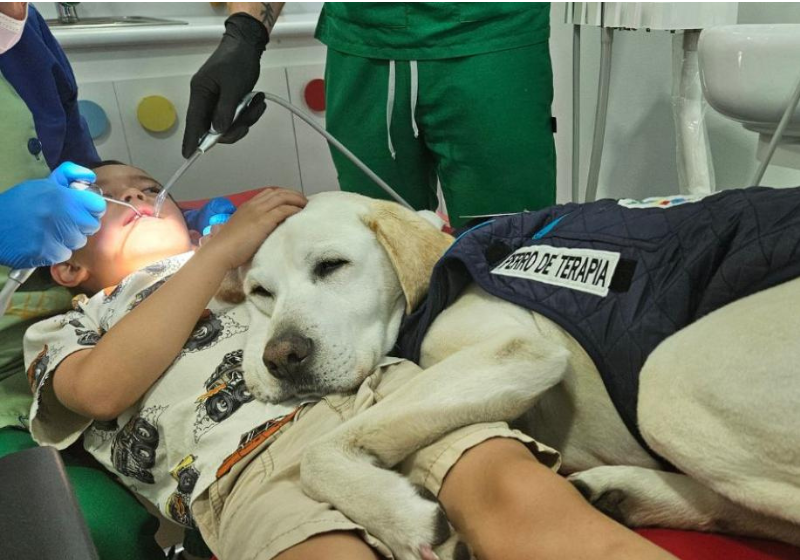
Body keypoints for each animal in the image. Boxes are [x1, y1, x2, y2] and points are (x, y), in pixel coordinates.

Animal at [238, 190, 800, 552]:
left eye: (332, 265)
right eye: (259, 293)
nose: (281, 358)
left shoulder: (516, 348)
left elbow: (316, 455)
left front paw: (400, 516)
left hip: (666, 382)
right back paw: (626, 493)